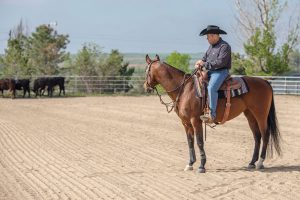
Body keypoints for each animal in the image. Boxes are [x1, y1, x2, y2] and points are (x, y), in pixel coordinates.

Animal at [145, 54, 282, 173]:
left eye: (147, 70)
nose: (146, 87)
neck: (185, 90)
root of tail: (265, 82)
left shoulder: (195, 120)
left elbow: (199, 141)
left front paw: (201, 166)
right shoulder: (185, 123)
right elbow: (190, 141)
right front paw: (190, 164)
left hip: (261, 115)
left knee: (265, 134)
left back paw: (260, 163)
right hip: (250, 115)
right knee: (257, 136)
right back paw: (252, 163)